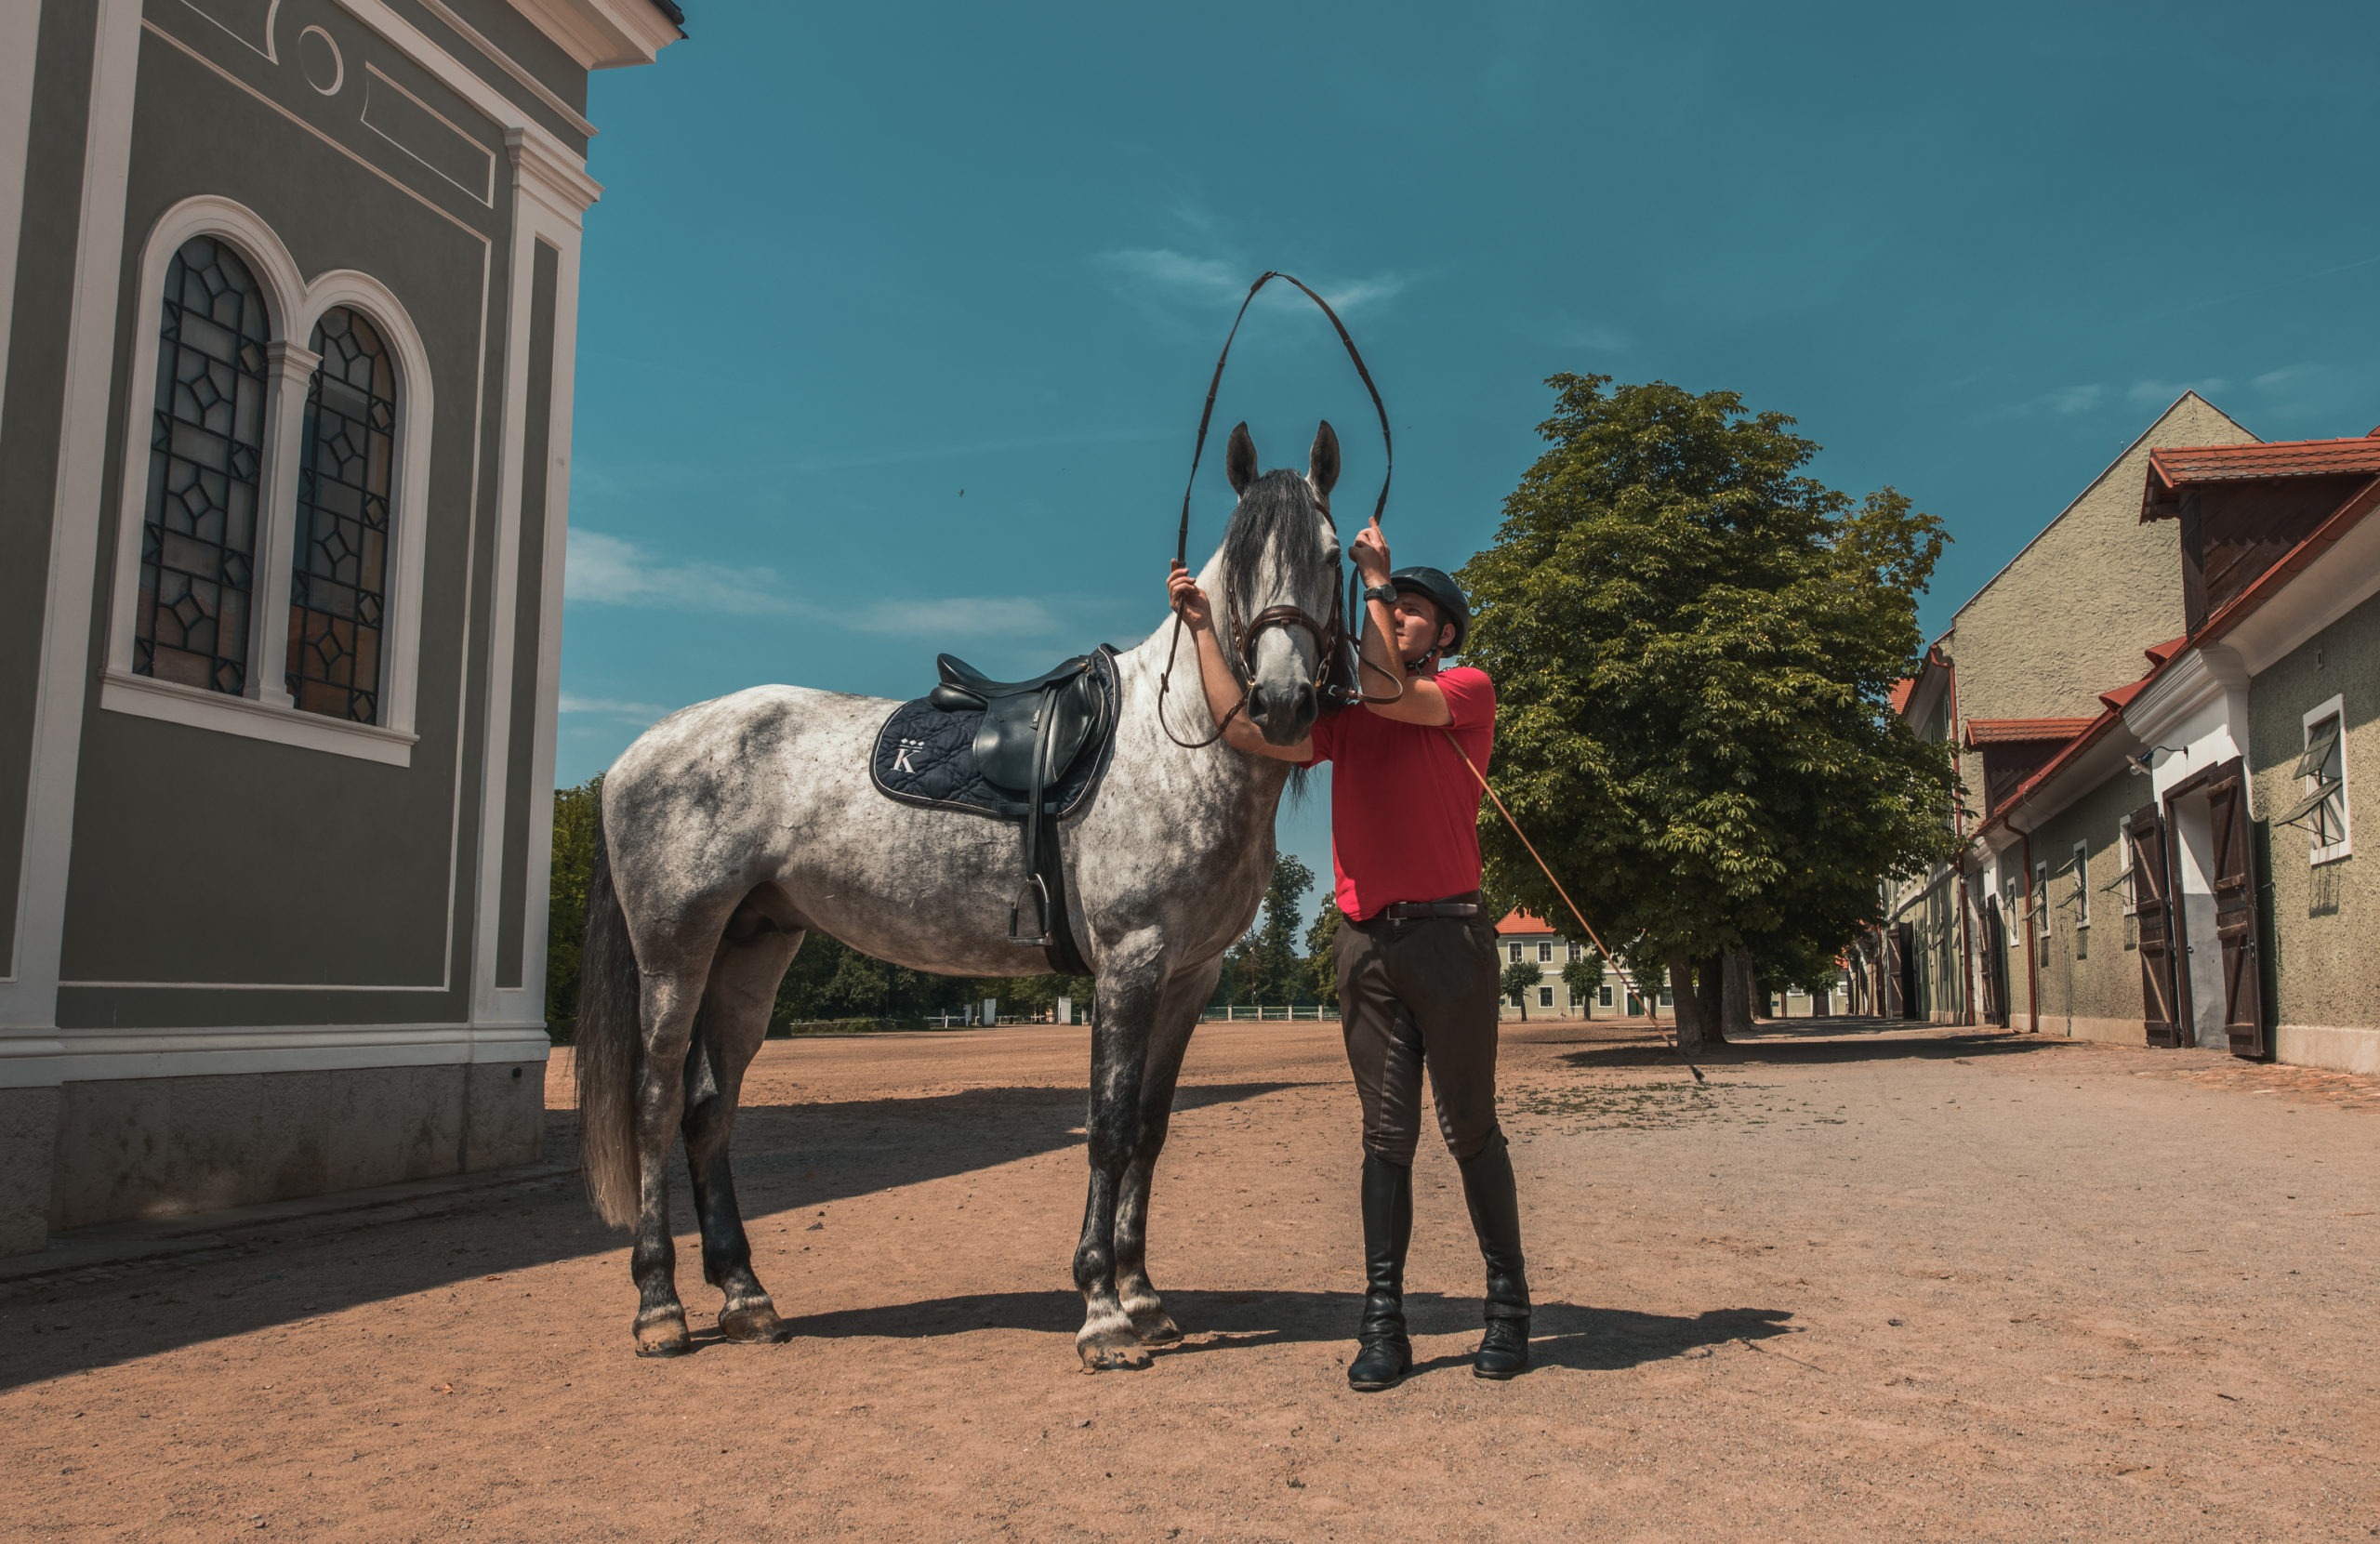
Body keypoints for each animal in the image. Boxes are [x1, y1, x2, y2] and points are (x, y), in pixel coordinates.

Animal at [573, 418, 1352, 1360]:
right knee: (653, 1108)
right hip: (675, 953)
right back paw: (660, 1306)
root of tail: (642, 750)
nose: (1282, 701)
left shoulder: (1190, 977)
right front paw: (1103, 1310)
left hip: (750, 952)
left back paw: (745, 1295)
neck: (1178, 743)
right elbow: (1109, 1128)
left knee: (707, 1112)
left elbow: (1150, 1131)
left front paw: (1145, 1296)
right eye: (1241, 562)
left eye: (1332, 554)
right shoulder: (1130, 964)